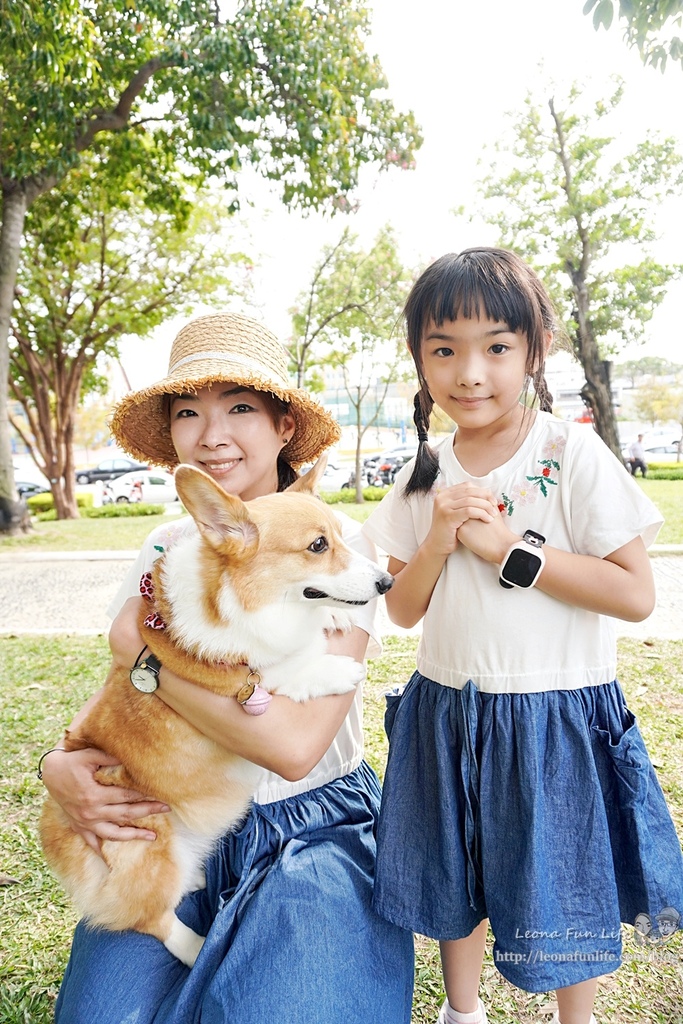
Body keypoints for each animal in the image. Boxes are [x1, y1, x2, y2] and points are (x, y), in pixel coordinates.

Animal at [41, 462, 395, 966]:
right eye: (317, 546)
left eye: (342, 538)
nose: (387, 583)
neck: (233, 596)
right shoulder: (244, 678)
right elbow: (290, 667)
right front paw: (337, 668)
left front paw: (335, 620)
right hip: (146, 845)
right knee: (150, 918)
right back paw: (196, 948)